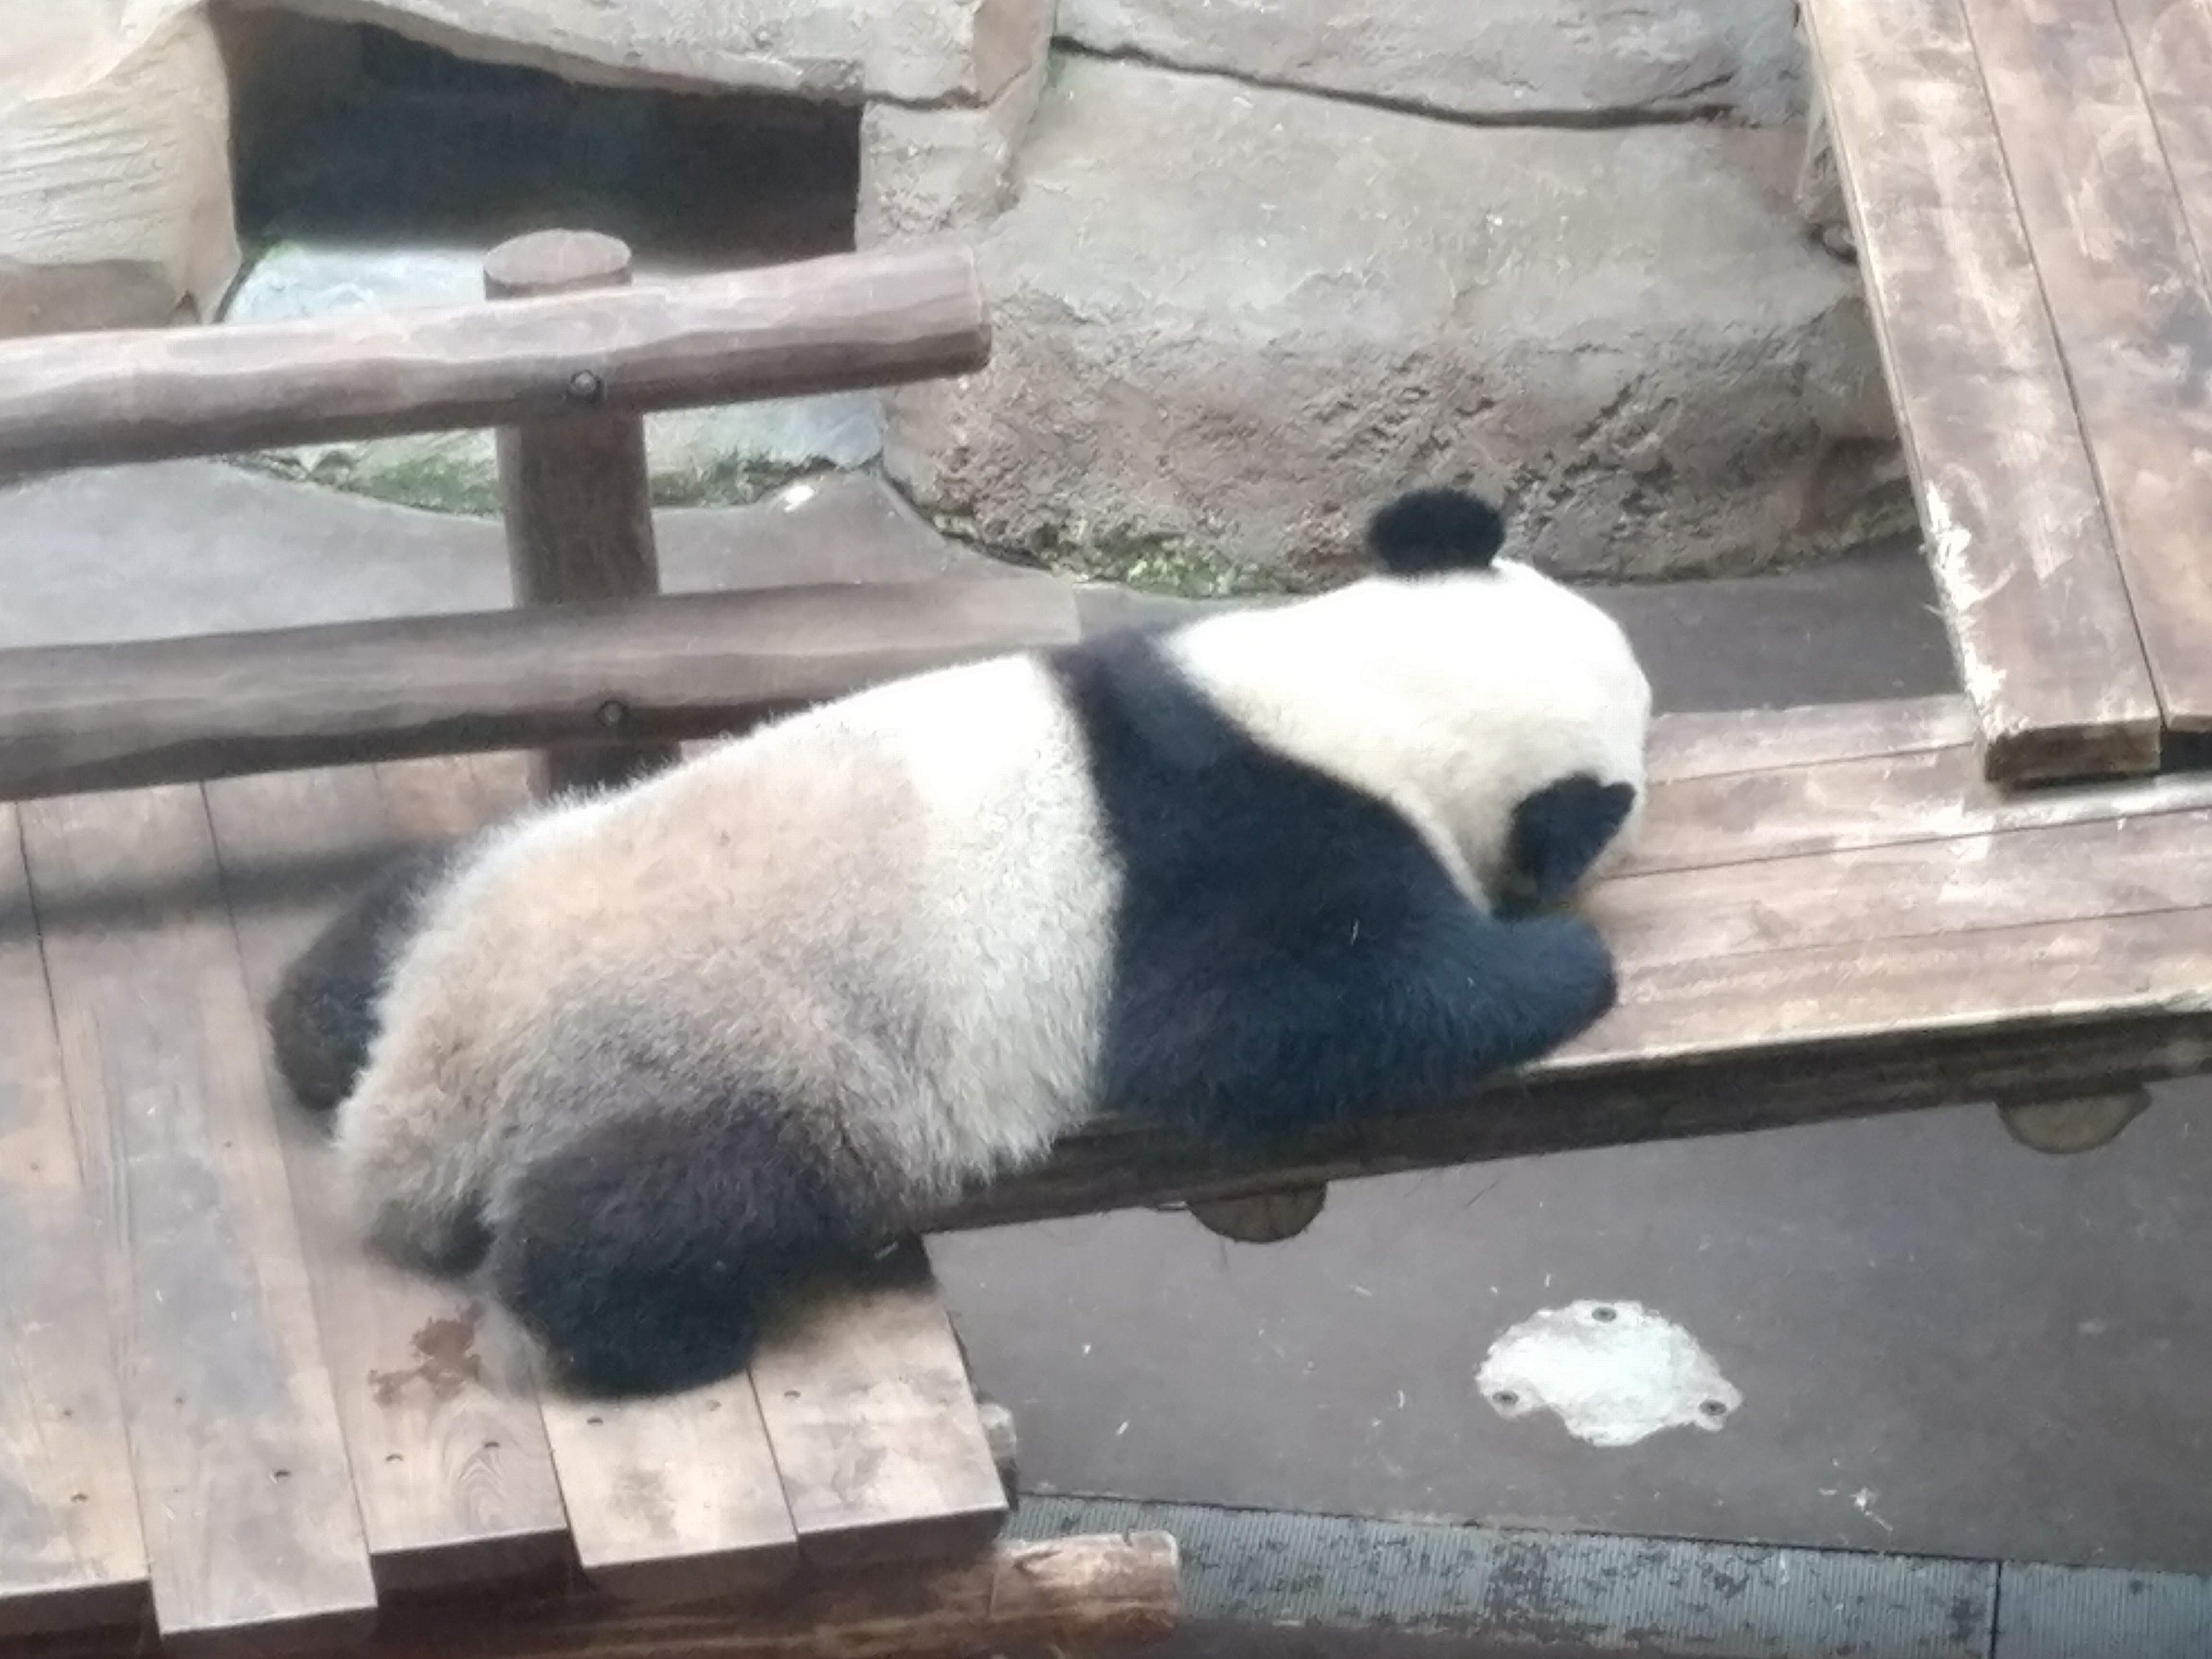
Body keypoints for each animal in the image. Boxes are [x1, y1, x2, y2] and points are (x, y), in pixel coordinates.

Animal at [269, 487, 1652, 1398]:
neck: (1358, 690)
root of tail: (424, 1085)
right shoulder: (1237, 841)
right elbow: (1261, 1027)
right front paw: (1568, 967)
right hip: (739, 1063)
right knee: (655, 1211)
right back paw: (649, 1336)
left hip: (505, 868)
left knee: (373, 940)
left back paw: (317, 1023)